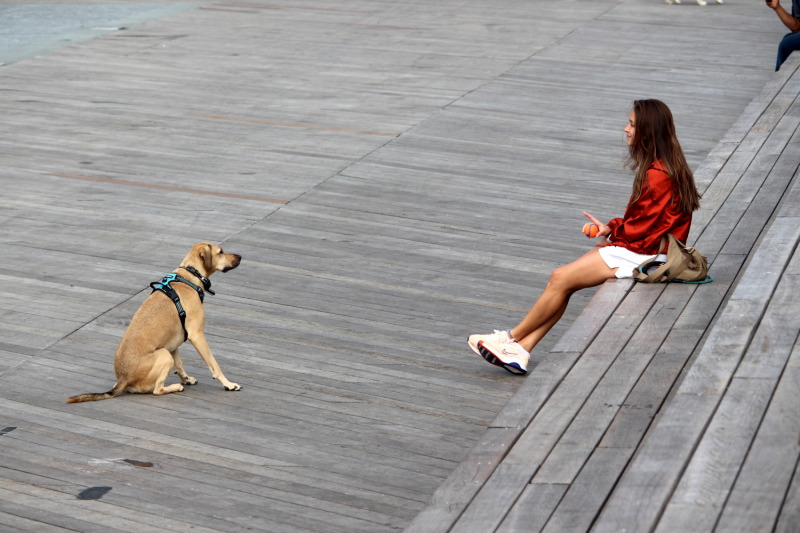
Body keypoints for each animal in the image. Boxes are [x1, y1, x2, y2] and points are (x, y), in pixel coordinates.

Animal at [67, 242, 242, 404]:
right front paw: (228, 384)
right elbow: (214, 364)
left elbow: (179, 365)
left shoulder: (173, 342)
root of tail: (123, 379)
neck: (189, 276)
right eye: (221, 252)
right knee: (157, 390)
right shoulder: (196, 335)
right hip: (164, 354)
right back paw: (175, 387)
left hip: (165, 351)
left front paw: (186, 378)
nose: (240, 256)